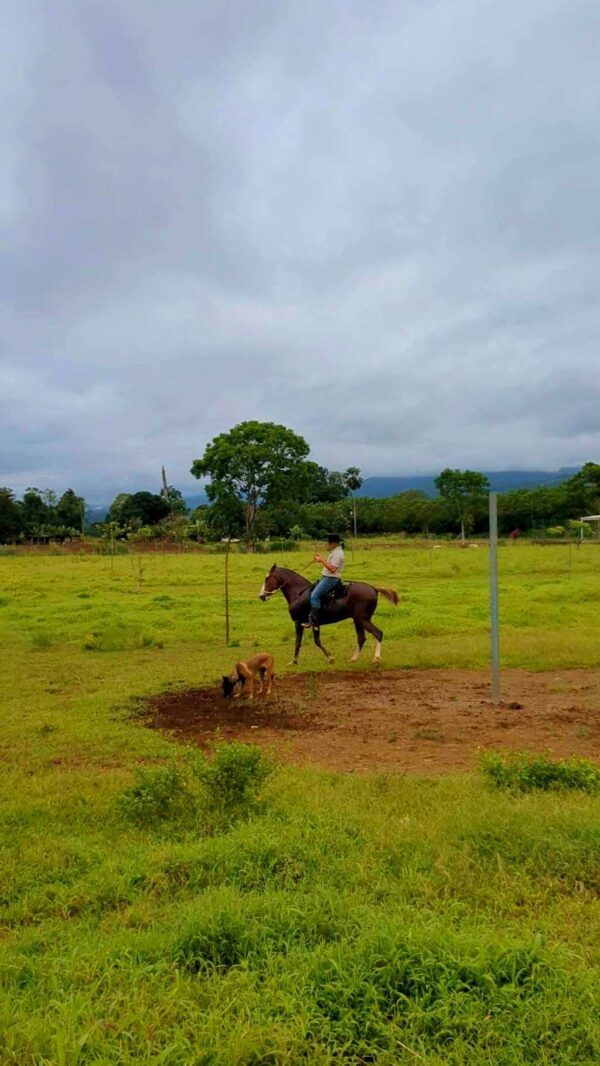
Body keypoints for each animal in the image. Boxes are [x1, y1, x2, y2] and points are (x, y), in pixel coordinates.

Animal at [258, 567, 396, 665]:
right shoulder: (312, 623)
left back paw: (376, 659)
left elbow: (306, 641)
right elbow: (309, 641)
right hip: (357, 620)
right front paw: (295, 660)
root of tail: (374, 589)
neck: (298, 593)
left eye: (267, 579)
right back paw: (353, 659)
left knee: (378, 633)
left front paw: (329, 658)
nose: (261, 596)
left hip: (363, 619)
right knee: (361, 638)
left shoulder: (300, 622)